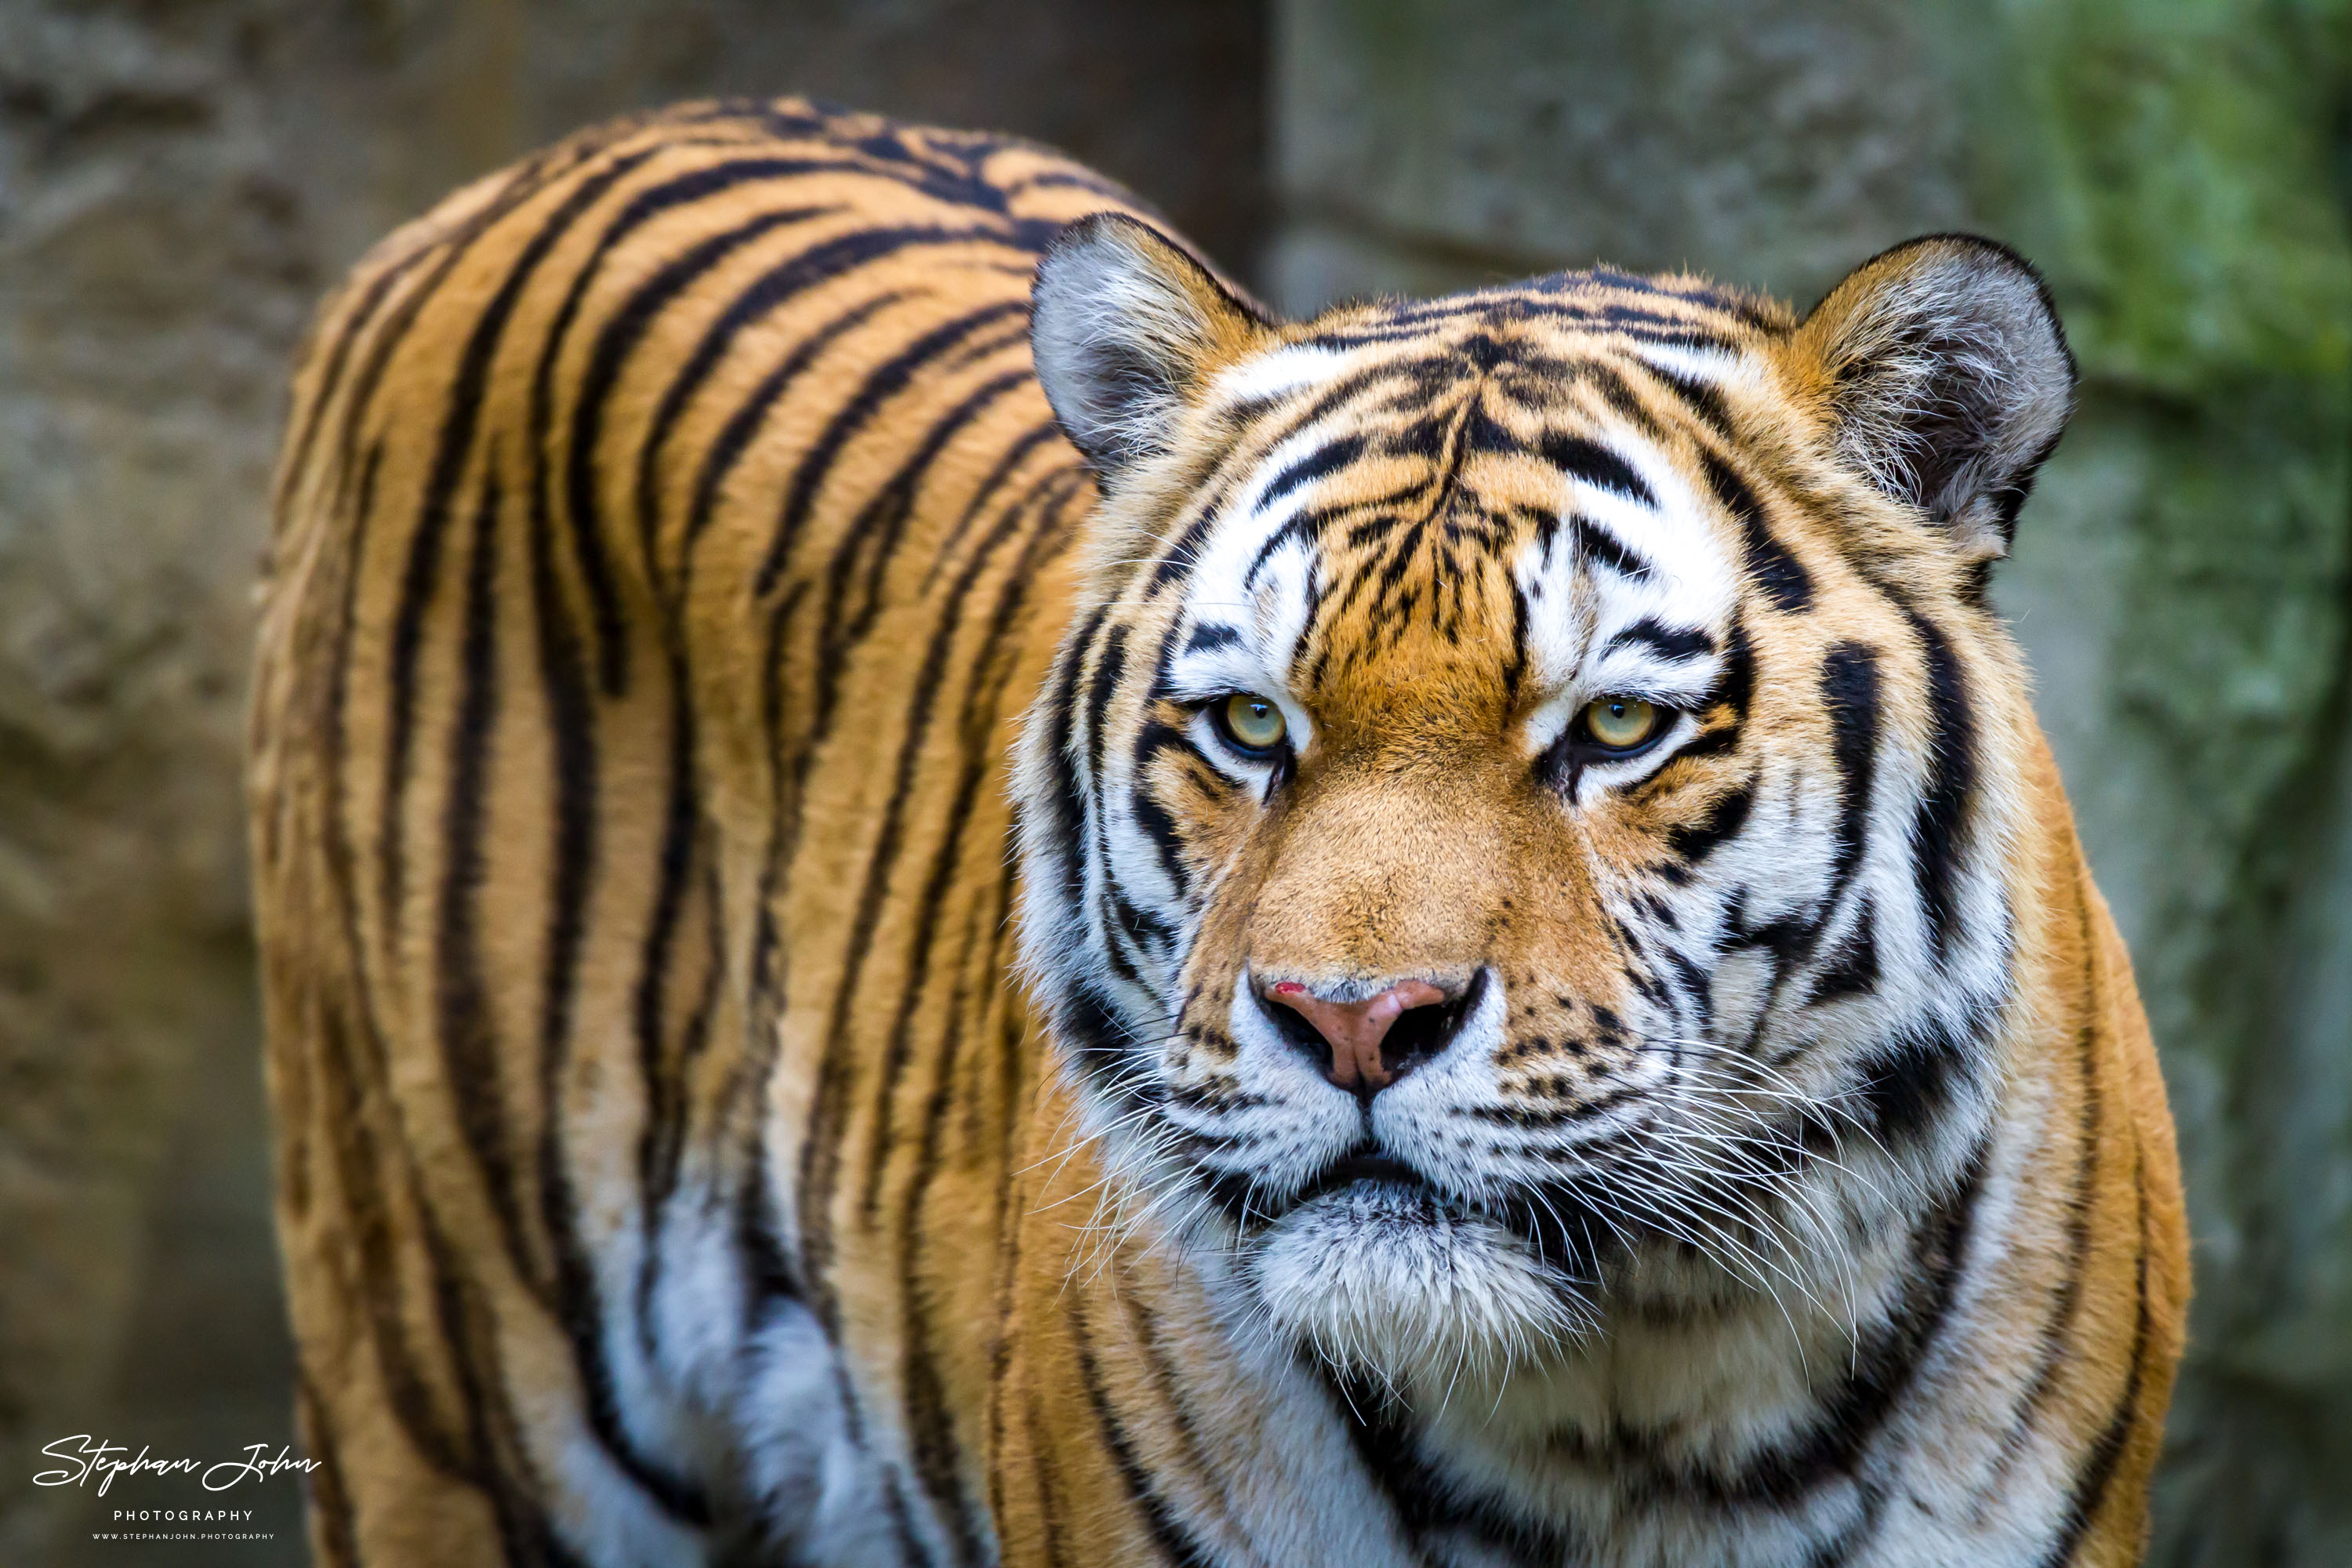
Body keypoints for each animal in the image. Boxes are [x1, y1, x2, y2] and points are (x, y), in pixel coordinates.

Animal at [248, 98, 2192, 1568]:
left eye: (1615, 730)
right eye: (1253, 728)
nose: (1354, 1022)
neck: (1632, 1414)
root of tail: (517, 180)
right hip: (449, 1384)